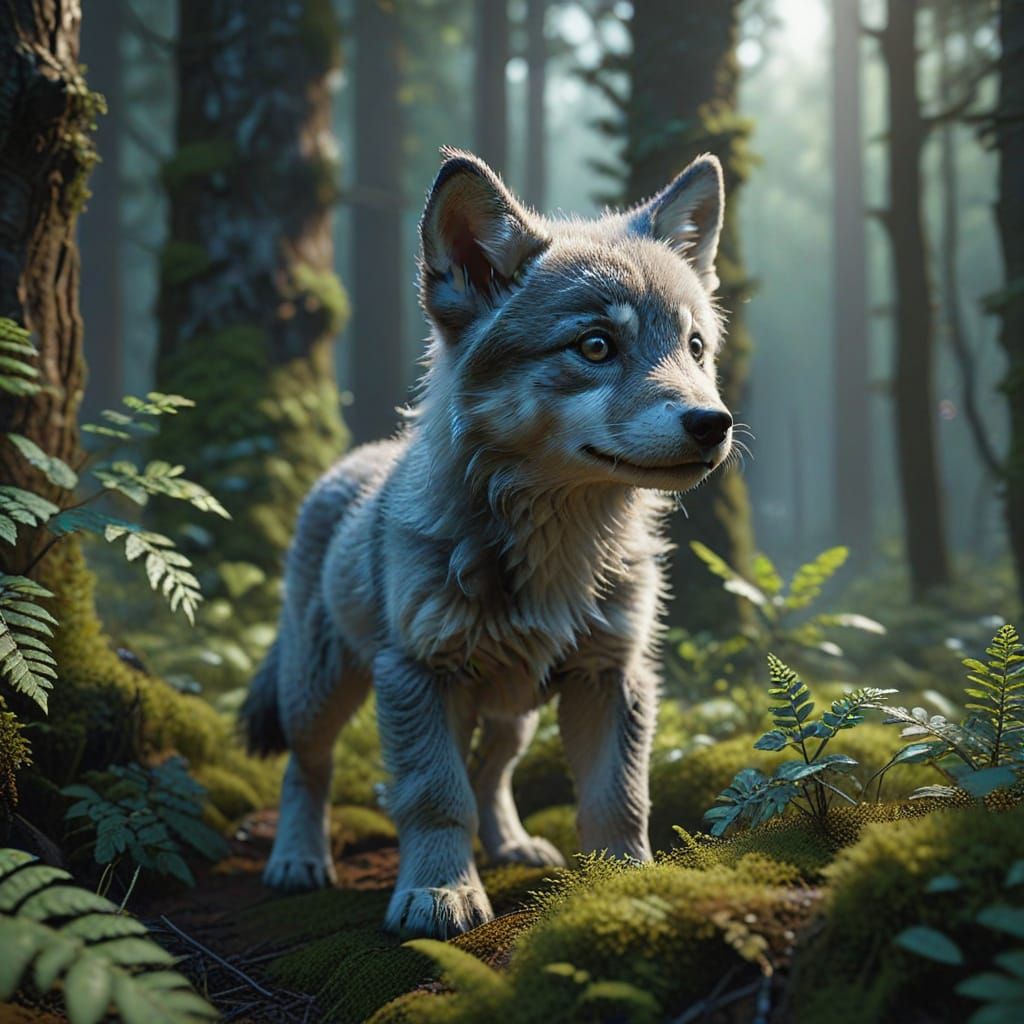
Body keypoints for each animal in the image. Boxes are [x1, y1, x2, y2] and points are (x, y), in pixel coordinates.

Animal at [241, 147, 734, 939]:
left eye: (694, 347)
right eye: (595, 346)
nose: (713, 423)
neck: (559, 547)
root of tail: (352, 460)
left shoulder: (613, 675)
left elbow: (618, 800)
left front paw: (625, 887)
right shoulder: (416, 675)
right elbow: (435, 796)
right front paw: (440, 891)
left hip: (515, 710)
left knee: (493, 772)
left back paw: (511, 843)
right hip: (320, 692)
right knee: (306, 769)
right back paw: (297, 859)